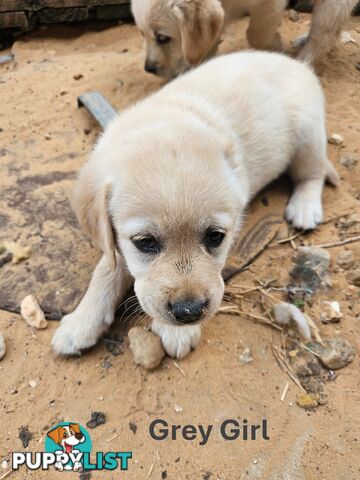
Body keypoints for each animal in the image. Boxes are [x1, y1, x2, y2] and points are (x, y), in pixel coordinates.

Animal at [50, 51, 338, 360]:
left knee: (313, 173)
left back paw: (305, 207)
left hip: (308, 133)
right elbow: (107, 266)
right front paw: (81, 322)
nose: (188, 312)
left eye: (216, 237)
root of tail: (294, 62)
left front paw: (177, 333)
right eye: (145, 242)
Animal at [131, 0, 358, 79]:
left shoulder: (268, 4)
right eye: (141, 34)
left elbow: (256, 34)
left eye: (163, 38)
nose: (149, 69)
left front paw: (274, 46)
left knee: (324, 30)